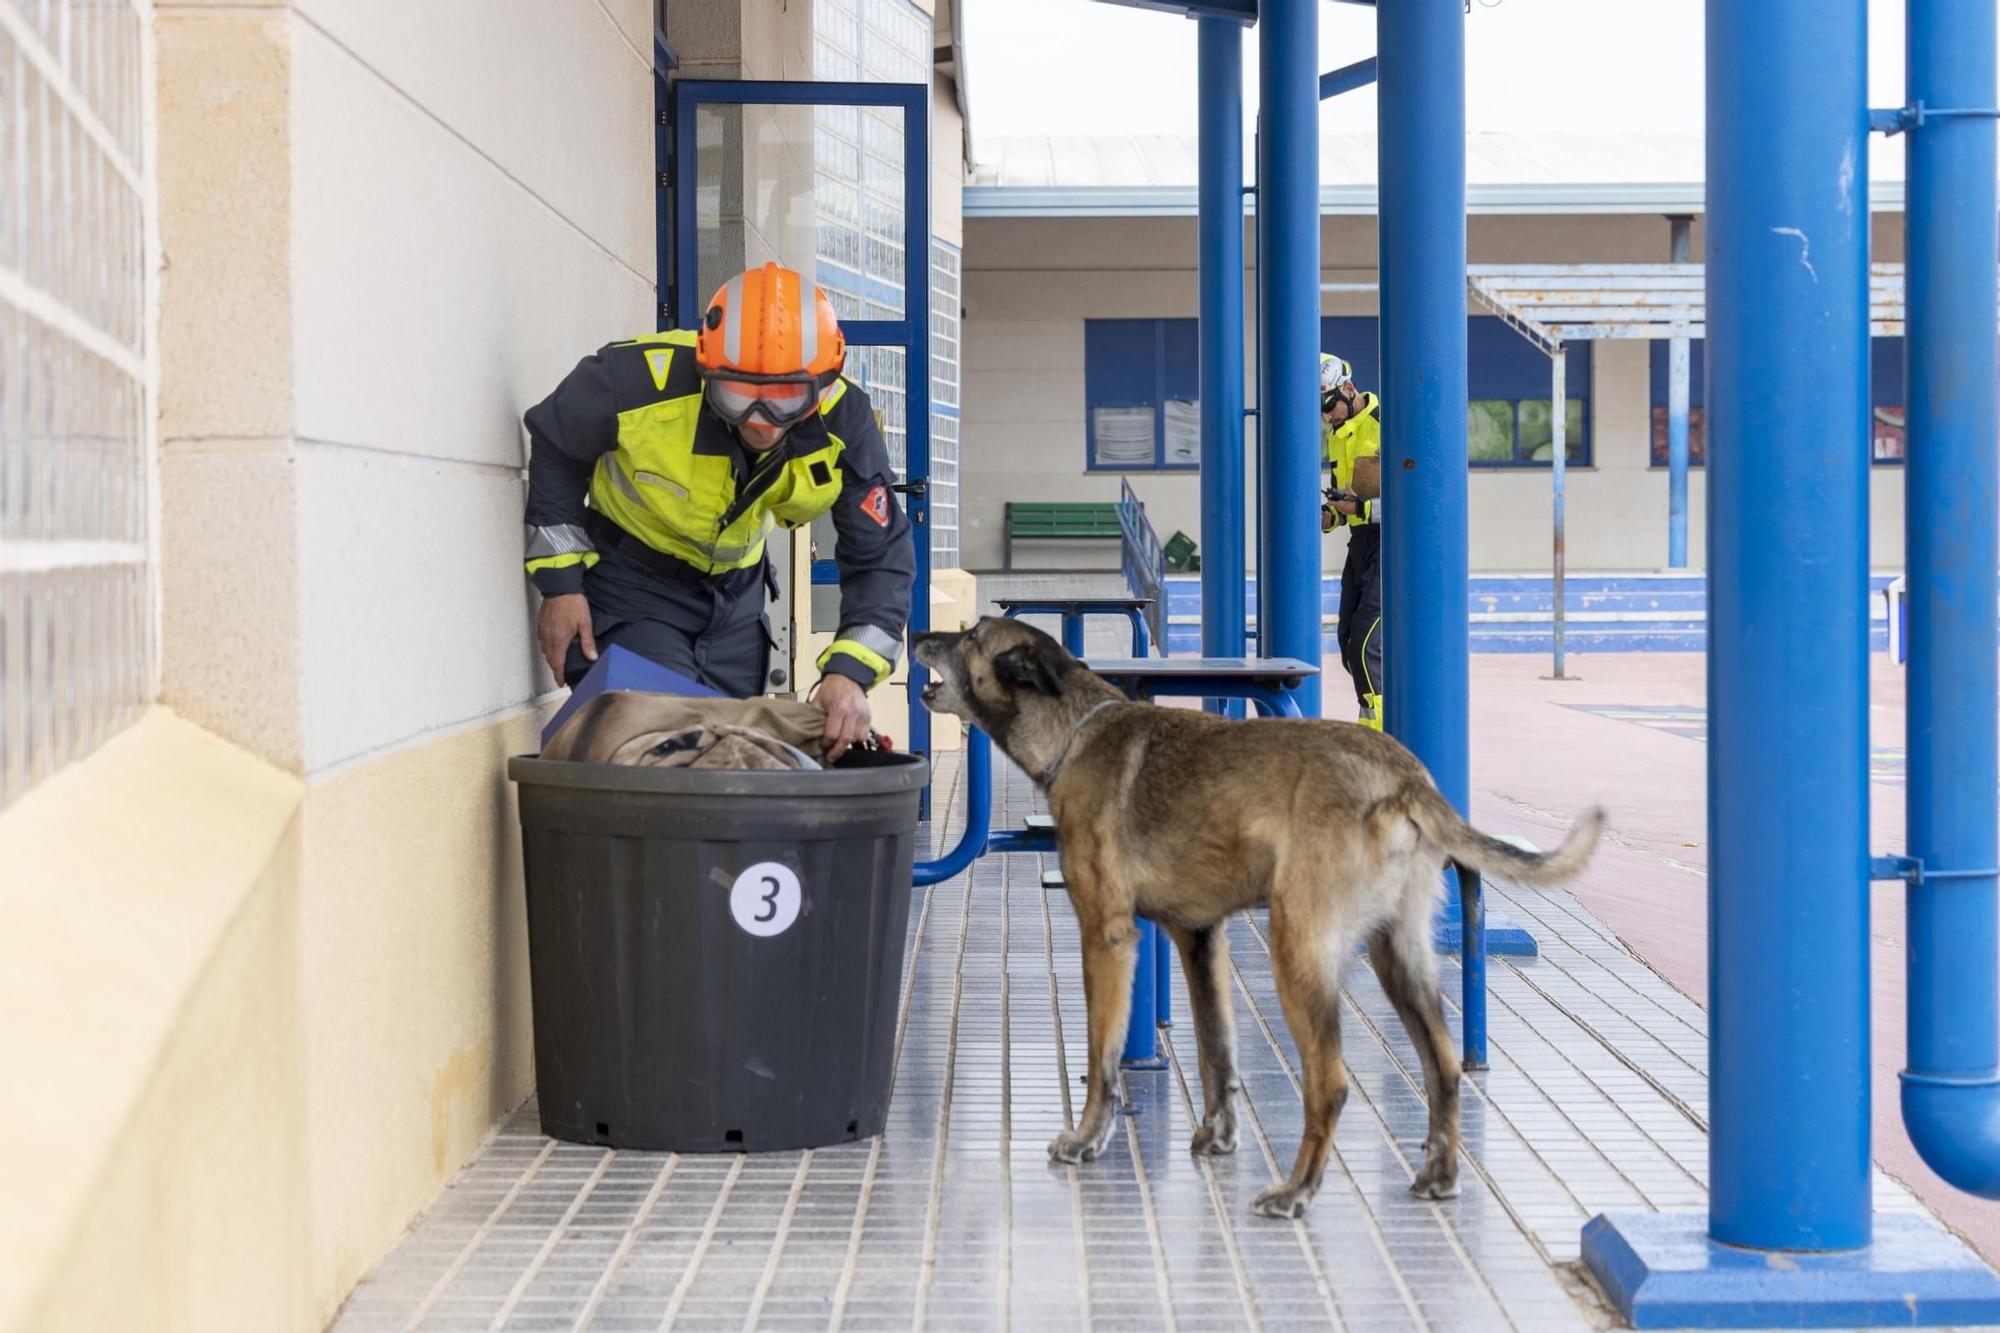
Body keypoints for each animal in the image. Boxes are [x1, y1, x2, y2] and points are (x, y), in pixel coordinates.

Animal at [916, 616, 1600, 1216]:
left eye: (971, 638)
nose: (919, 632)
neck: (1073, 731)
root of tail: (1403, 778)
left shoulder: (1106, 936)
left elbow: (1102, 1058)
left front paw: (1086, 1138)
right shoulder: (1199, 939)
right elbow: (1217, 1052)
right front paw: (1216, 1138)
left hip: (1296, 948)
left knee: (1330, 1083)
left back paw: (1296, 1191)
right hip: (1398, 957)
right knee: (1444, 1065)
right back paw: (1438, 1174)